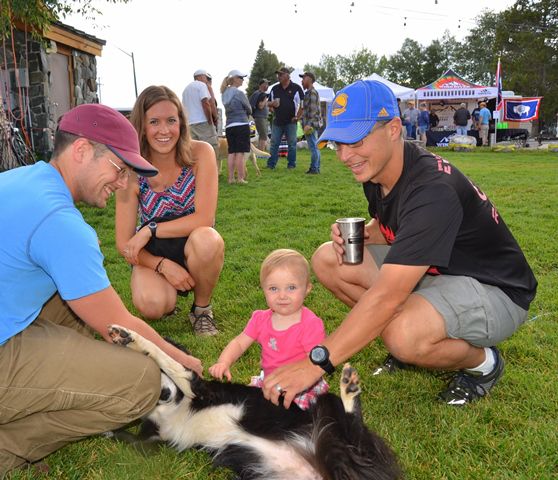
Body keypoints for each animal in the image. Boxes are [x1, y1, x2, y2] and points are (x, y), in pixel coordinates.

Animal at [108, 326, 402, 480]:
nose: (164, 394)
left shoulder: (201, 389)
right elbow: (131, 440)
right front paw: (109, 430)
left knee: (355, 432)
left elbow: (165, 357)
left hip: (325, 408)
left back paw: (349, 390)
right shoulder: (153, 443)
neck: (173, 407)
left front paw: (129, 337)